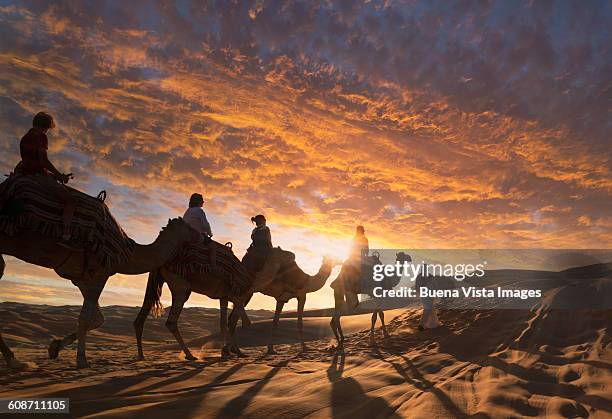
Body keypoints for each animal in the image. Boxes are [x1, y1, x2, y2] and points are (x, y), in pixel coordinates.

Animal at [0, 218, 198, 370]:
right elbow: (86, 318)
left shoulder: (83, 278)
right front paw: (81, 360)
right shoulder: (99, 273)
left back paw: (15, 361)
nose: (202, 236)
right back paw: (15, 361)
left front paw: (54, 348)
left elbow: (97, 319)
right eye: (188, 227)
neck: (128, 253)